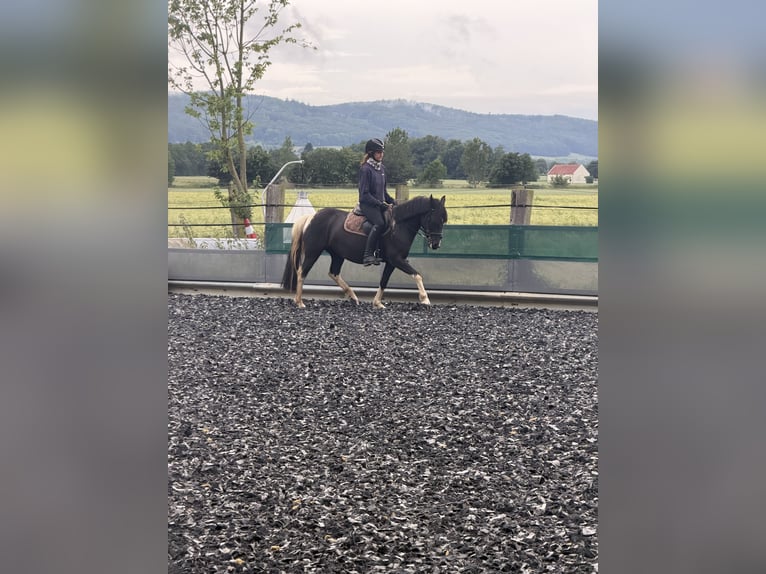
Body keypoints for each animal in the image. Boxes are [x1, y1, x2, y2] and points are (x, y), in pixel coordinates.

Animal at [281, 195, 448, 308]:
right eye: (434, 219)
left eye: (443, 220)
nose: (436, 244)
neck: (399, 226)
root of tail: (311, 217)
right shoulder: (396, 259)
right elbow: (417, 275)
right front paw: (425, 299)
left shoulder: (392, 262)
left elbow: (384, 281)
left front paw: (377, 303)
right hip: (313, 252)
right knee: (302, 272)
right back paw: (299, 301)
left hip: (337, 254)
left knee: (333, 273)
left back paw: (353, 296)